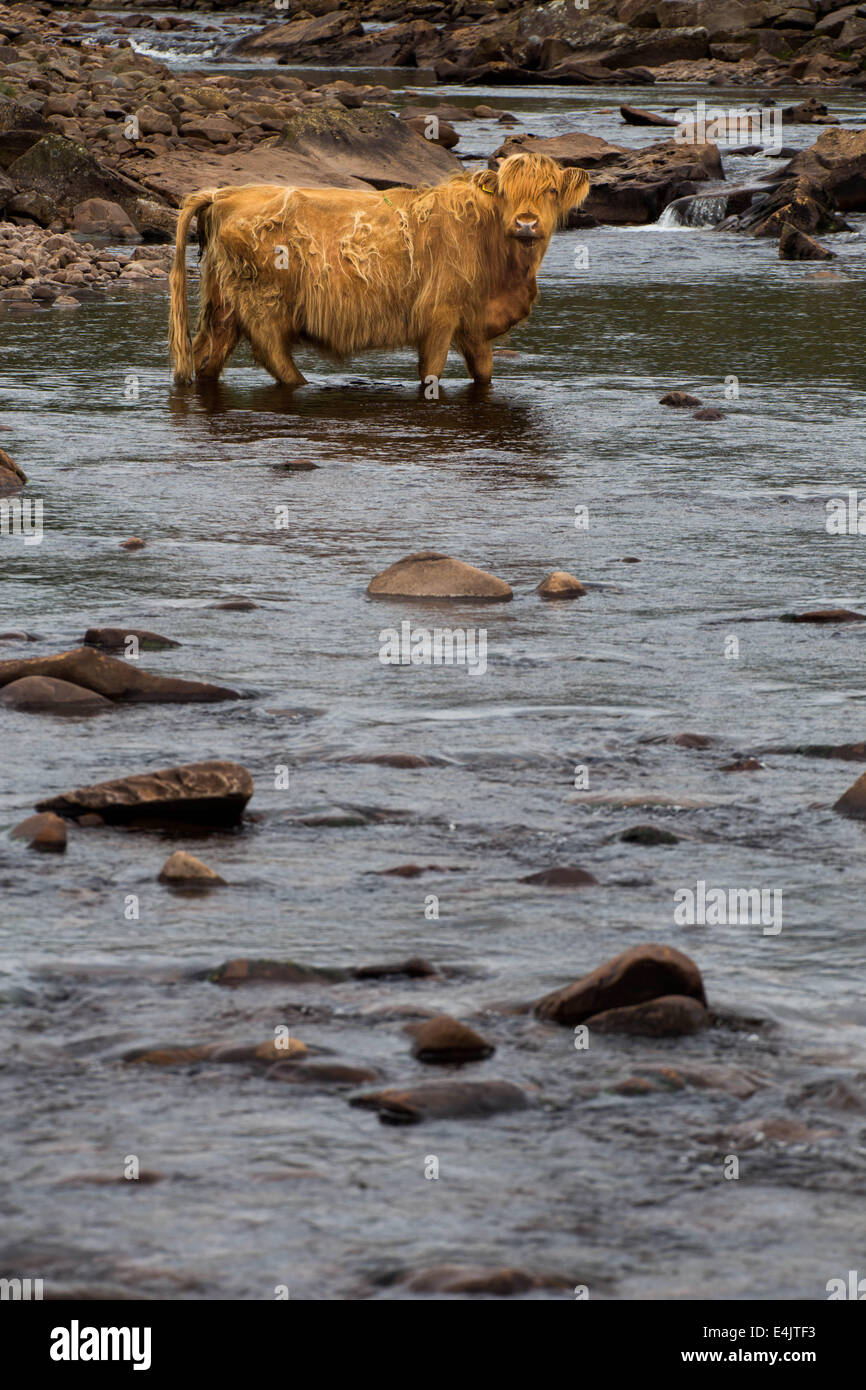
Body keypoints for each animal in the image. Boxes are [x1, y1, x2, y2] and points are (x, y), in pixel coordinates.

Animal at [168, 152, 590, 389]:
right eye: (504, 192)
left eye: (552, 190)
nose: (526, 223)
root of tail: (224, 193)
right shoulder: (439, 315)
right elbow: (431, 372)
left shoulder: (472, 323)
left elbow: (484, 372)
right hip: (263, 301)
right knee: (272, 352)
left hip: (223, 304)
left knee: (207, 354)